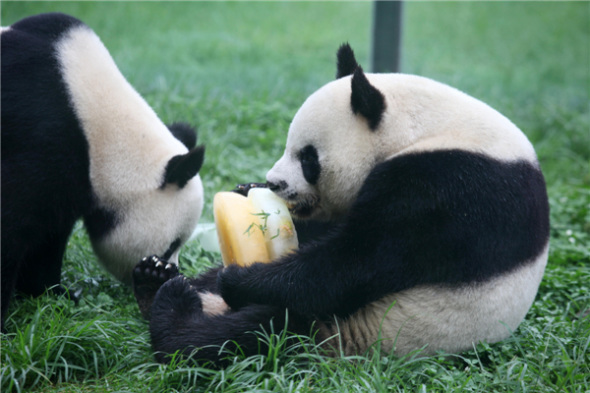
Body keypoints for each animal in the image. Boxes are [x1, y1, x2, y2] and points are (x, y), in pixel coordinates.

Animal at [1, 12, 206, 330]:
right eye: (171, 245)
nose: (172, 275)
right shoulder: (40, 140)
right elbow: (11, 226)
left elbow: (47, 237)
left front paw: (54, 294)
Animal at [133, 42, 552, 364]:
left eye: (308, 158)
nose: (275, 182)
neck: (426, 128)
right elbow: (329, 235)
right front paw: (244, 190)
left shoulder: (450, 189)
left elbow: (356, 260)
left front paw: (240, 278)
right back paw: (155, 278)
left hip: (370, 327)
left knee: (260, 332)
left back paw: (176, 308)